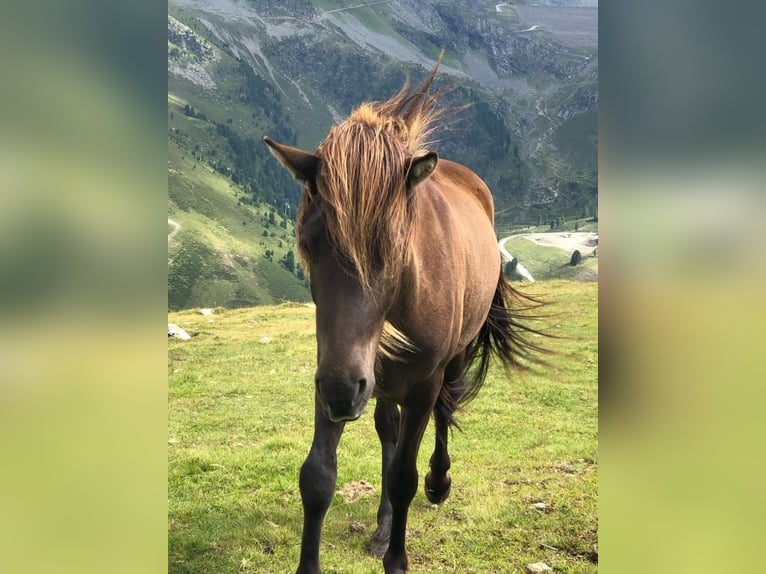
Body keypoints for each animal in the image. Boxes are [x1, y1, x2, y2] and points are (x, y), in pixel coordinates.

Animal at [264, 61, 546, 574]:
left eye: (394, 247)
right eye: (309, 245)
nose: (342, 392)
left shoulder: (418, 383)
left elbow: (404, 478)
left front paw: (397, 557)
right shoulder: (333, 371)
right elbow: (318, 477)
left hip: (446, 364)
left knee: (443, 414)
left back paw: (439, 484)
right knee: (388, 433)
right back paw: (380, 525)